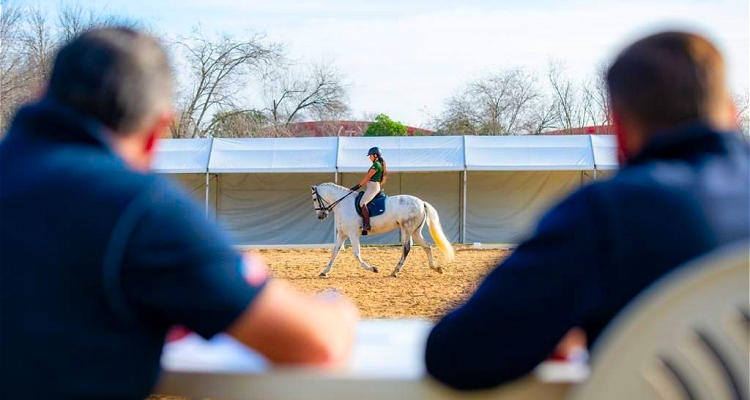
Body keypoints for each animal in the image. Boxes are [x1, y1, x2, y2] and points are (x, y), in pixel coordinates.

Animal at [310, 183, 456, 276]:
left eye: (314, 199)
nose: (320, 216)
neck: (343, 204)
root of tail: (421, 202)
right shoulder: (342, 234)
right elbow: (334, 252)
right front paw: (325, 271)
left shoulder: (353, 234)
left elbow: (356, 254)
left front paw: (373, 268)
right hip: (415, 232)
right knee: (427, 246)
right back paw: (436, 268)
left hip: (406, 229)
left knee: (406, 248)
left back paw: (395, 271)